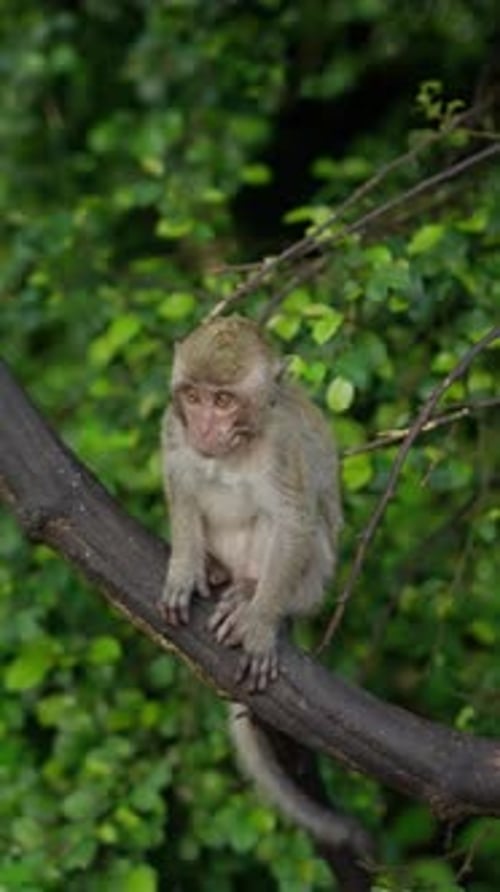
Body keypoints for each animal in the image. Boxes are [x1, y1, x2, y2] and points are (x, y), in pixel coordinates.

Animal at [159, 314, 348, 847]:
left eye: (224, 401)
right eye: (194, 396)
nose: (204, 426)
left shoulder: (282, 448)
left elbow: (293, 521)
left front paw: (261, 625)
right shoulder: (172, 427)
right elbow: (180, 480)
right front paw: (184, 568)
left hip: (313, 581)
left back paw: (247, 592)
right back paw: (215, 572)